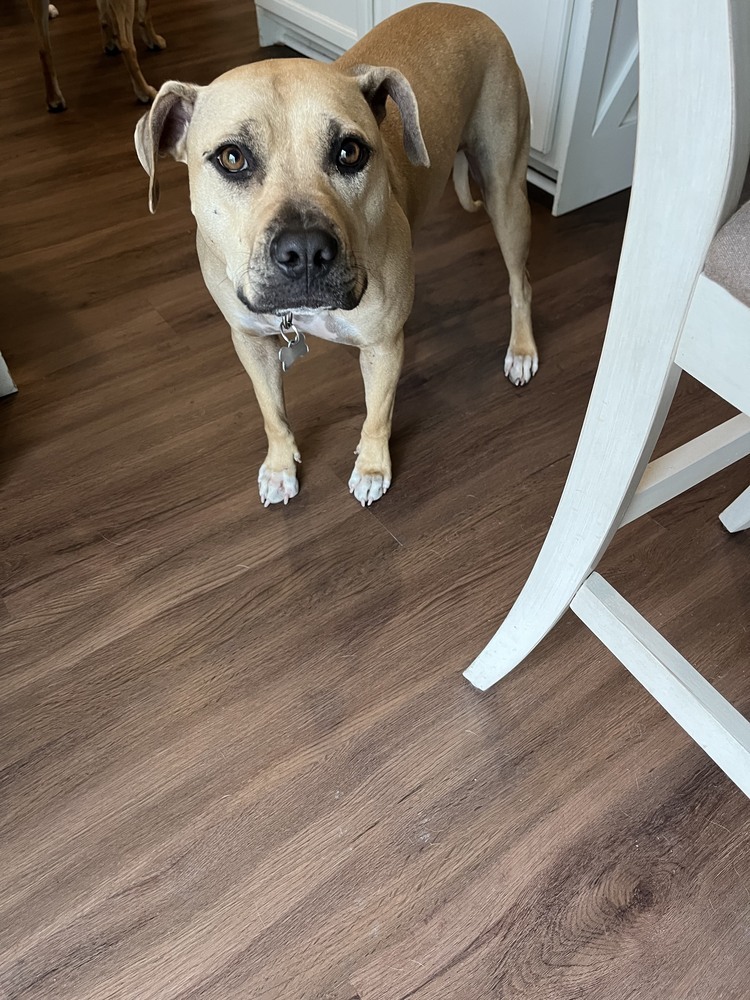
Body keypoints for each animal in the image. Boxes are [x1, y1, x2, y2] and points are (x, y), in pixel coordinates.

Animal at [27, 0, 165, 111]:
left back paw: (54, 99)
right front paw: (154, 40)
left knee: (44, 50)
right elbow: (144, 13)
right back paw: (145, 92)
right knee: (127, 46)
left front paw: (110, 43)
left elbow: (104, 13)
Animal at [134, 1, 536, 508]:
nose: (305, 250)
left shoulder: (382, 347)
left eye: (349, 152)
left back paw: (521, 350)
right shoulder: (250, 341)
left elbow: (377, 414)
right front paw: (280, 467)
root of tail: (469, 12)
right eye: (231, 158)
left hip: (506, 191)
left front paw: (372, 468)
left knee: (520, 281)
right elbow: (272, 412)